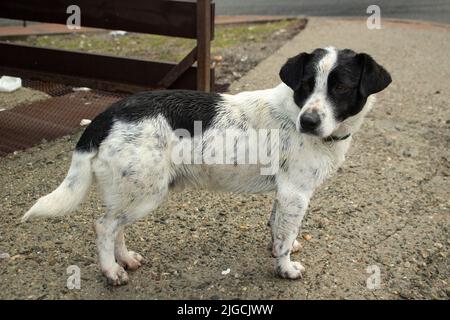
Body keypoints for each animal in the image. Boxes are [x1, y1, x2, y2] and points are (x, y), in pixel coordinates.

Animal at [23, 47, 390, 284]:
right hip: (145, 194)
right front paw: (285, 269)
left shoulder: (283, 194)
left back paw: (124, 259)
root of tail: (107, 114)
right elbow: (286, 237)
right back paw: (111, 271)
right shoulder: (295, 193)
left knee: (116, 226)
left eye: (340, 86)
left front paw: (275, 249)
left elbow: (277, 227)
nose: (308, 122)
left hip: (132, 192)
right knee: (103, 226)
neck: (294, 110)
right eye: (305, 86)